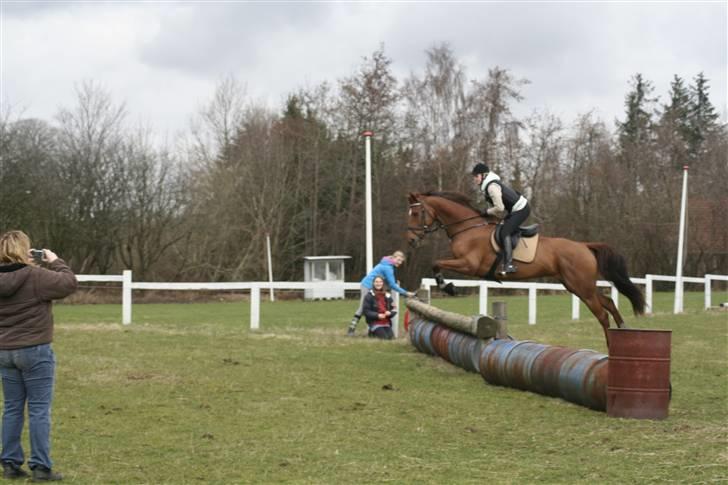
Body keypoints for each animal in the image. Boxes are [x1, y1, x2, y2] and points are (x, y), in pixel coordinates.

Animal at [406, 191, 644, 346]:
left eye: (416, 214)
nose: (411, 240)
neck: (467, 227)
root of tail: (584, 246)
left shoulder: (469, 264)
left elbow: (436, 263)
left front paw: (449, 287)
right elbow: (435, 263)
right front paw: (447, 286)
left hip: (581, 286)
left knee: (602, 313)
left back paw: (612, 344)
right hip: (576, 285)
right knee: (609, 301)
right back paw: (623, 330)